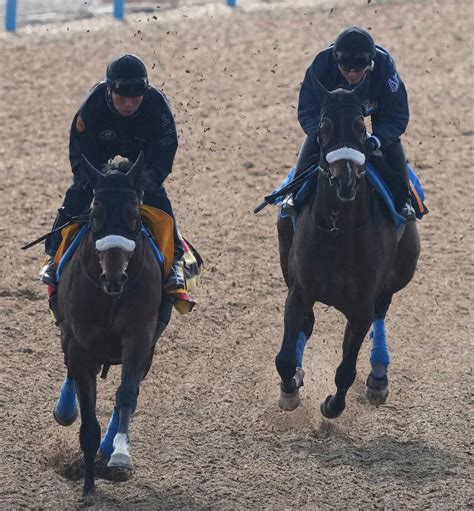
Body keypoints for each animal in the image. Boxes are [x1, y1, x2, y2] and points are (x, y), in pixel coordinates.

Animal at [53, 153, 172, 496]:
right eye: (96, 214)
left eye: (133, 214)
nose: (115, 276)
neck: (110, 296)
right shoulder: (79, 346)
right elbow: (87, 416)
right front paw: (88, 488)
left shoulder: (139, 339)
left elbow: (126, 396)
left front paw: (119, 454)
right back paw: (65, 409)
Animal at [276, 77, 420, 420]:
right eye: (324, 127)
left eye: (360, 127)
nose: (346, 180)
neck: (337, 232)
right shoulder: (299, 292)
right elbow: (285, 357)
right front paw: (290, 388)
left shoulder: (361, 309)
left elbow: (346, 370)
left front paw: (332, 405)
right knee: (308, 326)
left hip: (400, 272)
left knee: (381, 311)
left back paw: (379, 375)